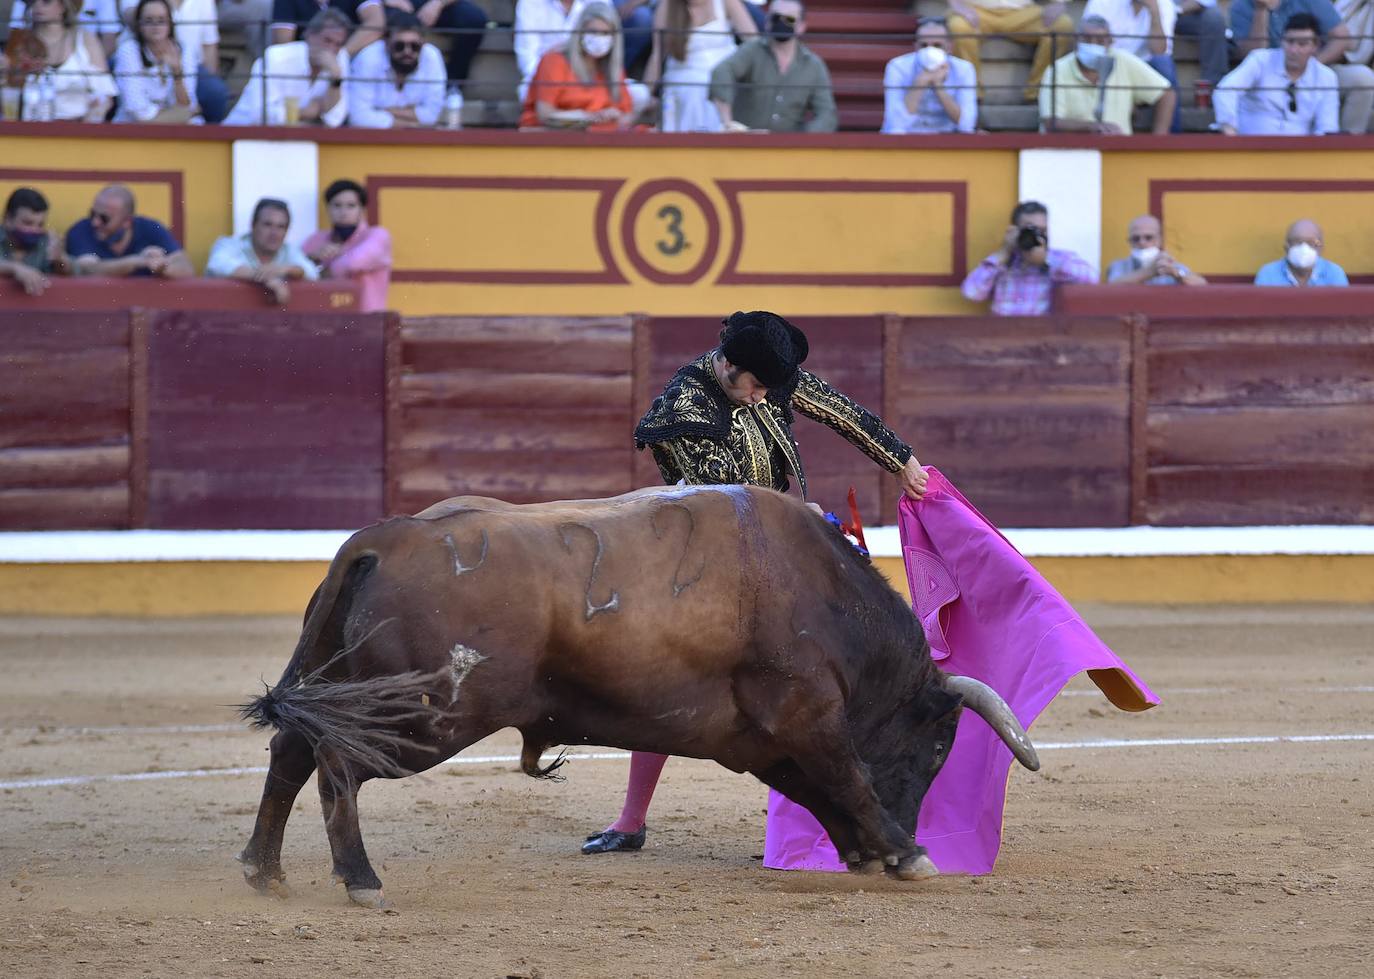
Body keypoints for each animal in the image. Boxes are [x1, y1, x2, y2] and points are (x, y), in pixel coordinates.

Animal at [241, 486, 1038, 906]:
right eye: (936, 748)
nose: (917, 823)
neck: (826, 595)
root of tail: (377, 542)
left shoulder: (765, 737)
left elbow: (823, 788)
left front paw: (865, 851)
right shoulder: (806, 713)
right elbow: (851, 779)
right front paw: (905, 852)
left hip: (352, 687)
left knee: (291, 751)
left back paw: (264, 869)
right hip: (426, 718)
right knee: (337, 765)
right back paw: (360, 879)